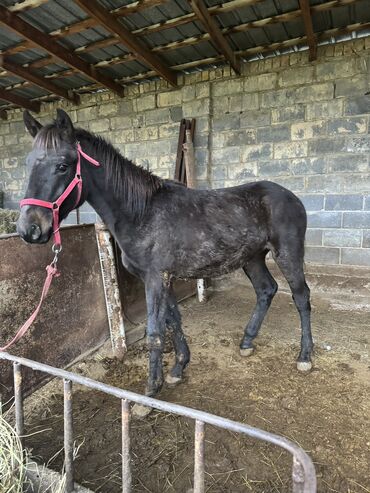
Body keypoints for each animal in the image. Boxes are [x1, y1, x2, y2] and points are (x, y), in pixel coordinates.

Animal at [16, 108, 312, 404]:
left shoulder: (156, 279)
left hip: (288, 254)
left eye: (63, 166)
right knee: (266, 290)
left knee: (301, 297)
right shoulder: (163, 278)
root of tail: (292, 197)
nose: (29, 229)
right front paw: (178, 369)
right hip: (253, 258)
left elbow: (155, 333)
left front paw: (149, 394)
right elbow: (174, 321)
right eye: (28, 163)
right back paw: (247, 342)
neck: (141, 212)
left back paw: (305, 356)